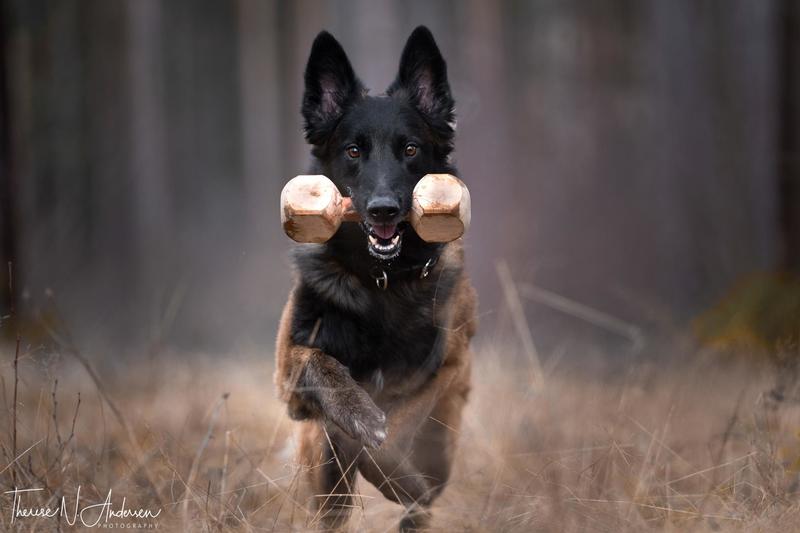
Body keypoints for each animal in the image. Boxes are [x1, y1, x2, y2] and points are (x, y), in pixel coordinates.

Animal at [276, 25, 476, 528]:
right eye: (353, 151)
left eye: (411, 149)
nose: (383, 209)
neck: (382, 282)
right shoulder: (288, 371)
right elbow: (320, 362)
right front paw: (359, 416)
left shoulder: (446, 367)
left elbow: (393, 434)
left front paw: (396, 475)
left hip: (444, 439)